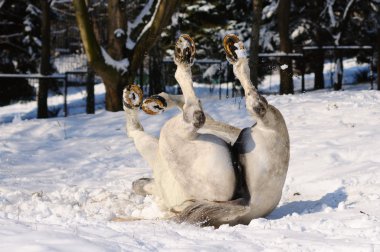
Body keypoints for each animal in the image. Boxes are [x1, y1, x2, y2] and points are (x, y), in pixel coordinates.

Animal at [123, 35, 290, 226]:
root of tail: (247, 204)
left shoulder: (152, 148)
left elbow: (135, 130)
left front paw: (137, 100)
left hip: (171, 137)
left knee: (199, 114)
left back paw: (186, 56)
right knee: (250, 108)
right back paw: (236, 57)